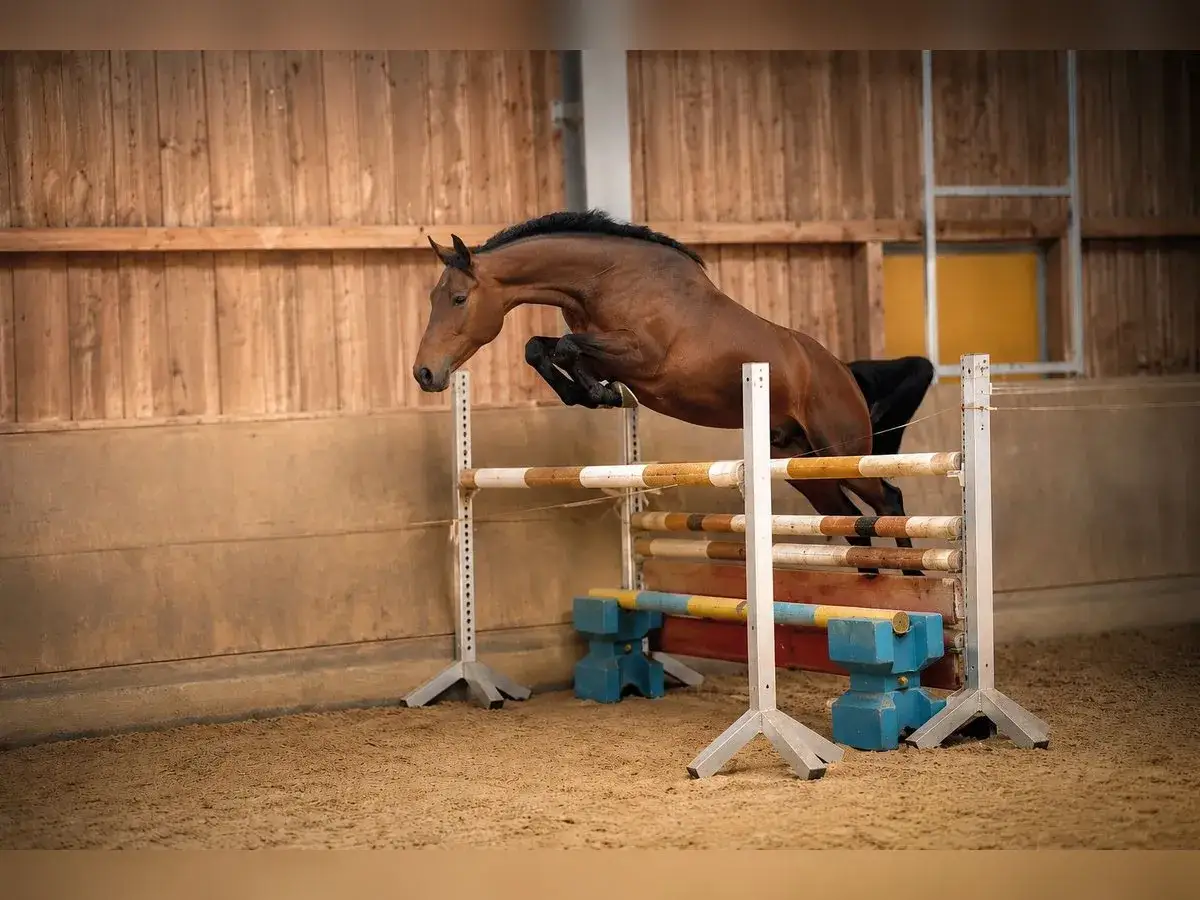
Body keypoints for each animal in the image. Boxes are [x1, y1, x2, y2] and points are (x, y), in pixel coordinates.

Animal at [412, 210, 936, 576]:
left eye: (458, 299)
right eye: (433, 298)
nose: (424, 373)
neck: (605, 281)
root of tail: (844, 373)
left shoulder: (643, 357)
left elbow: (565, 346)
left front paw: (601, 393)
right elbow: (540, 348)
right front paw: (596, 393)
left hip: (842, 452)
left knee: (887, 501)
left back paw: (913, 584)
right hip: (805, 468)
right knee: (851, 526)